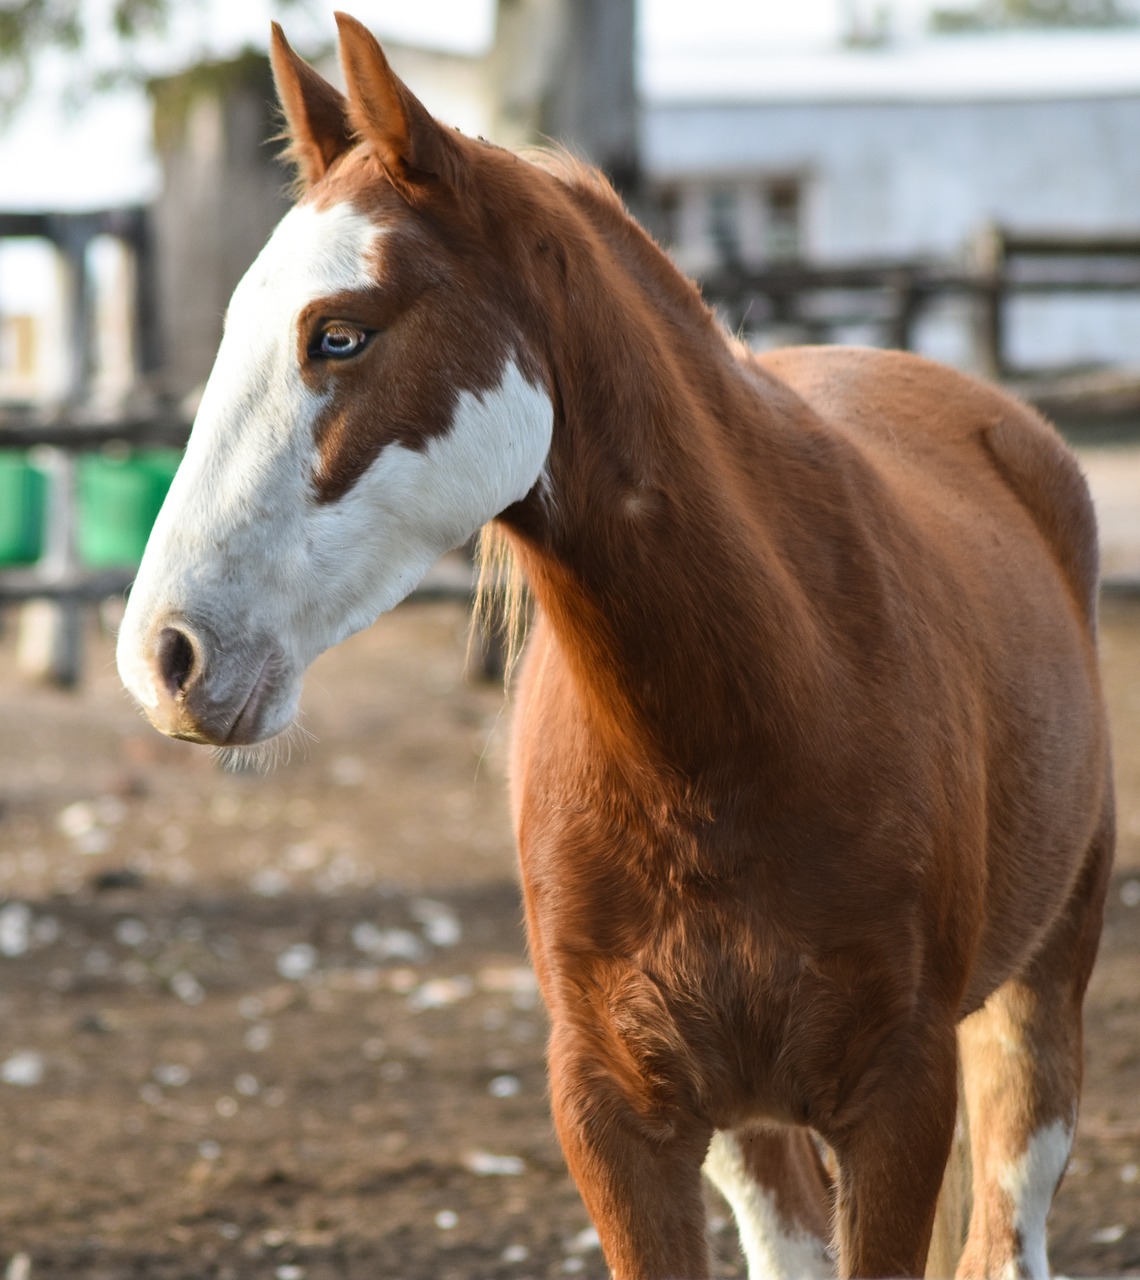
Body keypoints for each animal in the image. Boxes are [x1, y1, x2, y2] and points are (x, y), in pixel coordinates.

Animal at [118, 15, 1115, 1274]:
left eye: (339, 333)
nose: (166, 654)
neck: (749, 723)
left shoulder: (901, 1100)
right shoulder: (617, 1113)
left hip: (1039, 1000)